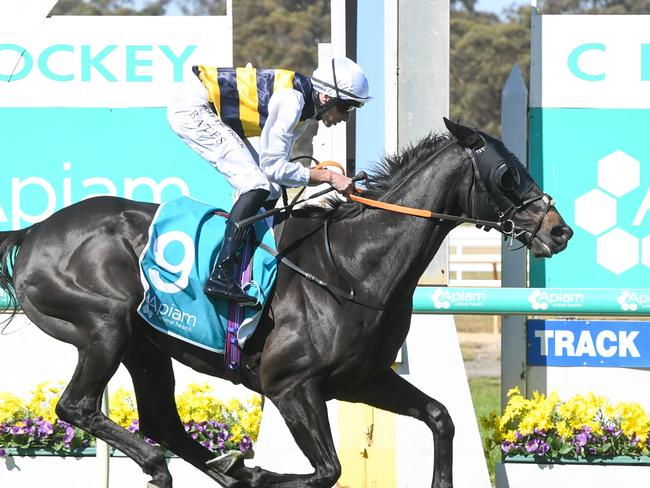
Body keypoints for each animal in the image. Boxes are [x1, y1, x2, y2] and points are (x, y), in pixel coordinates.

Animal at [0, 119, 568, 488]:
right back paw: (177, 465)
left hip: (147, 344)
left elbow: (440, 416)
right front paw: (259, 471)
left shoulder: (363, 380)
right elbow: (328, 470)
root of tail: (35, 232)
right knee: (77, 406)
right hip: (105, 325)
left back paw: (214, 466)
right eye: (508, 173)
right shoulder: (289, 385)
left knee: (162, 420)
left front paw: (246, 469)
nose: (558, 230)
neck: (352, 267)